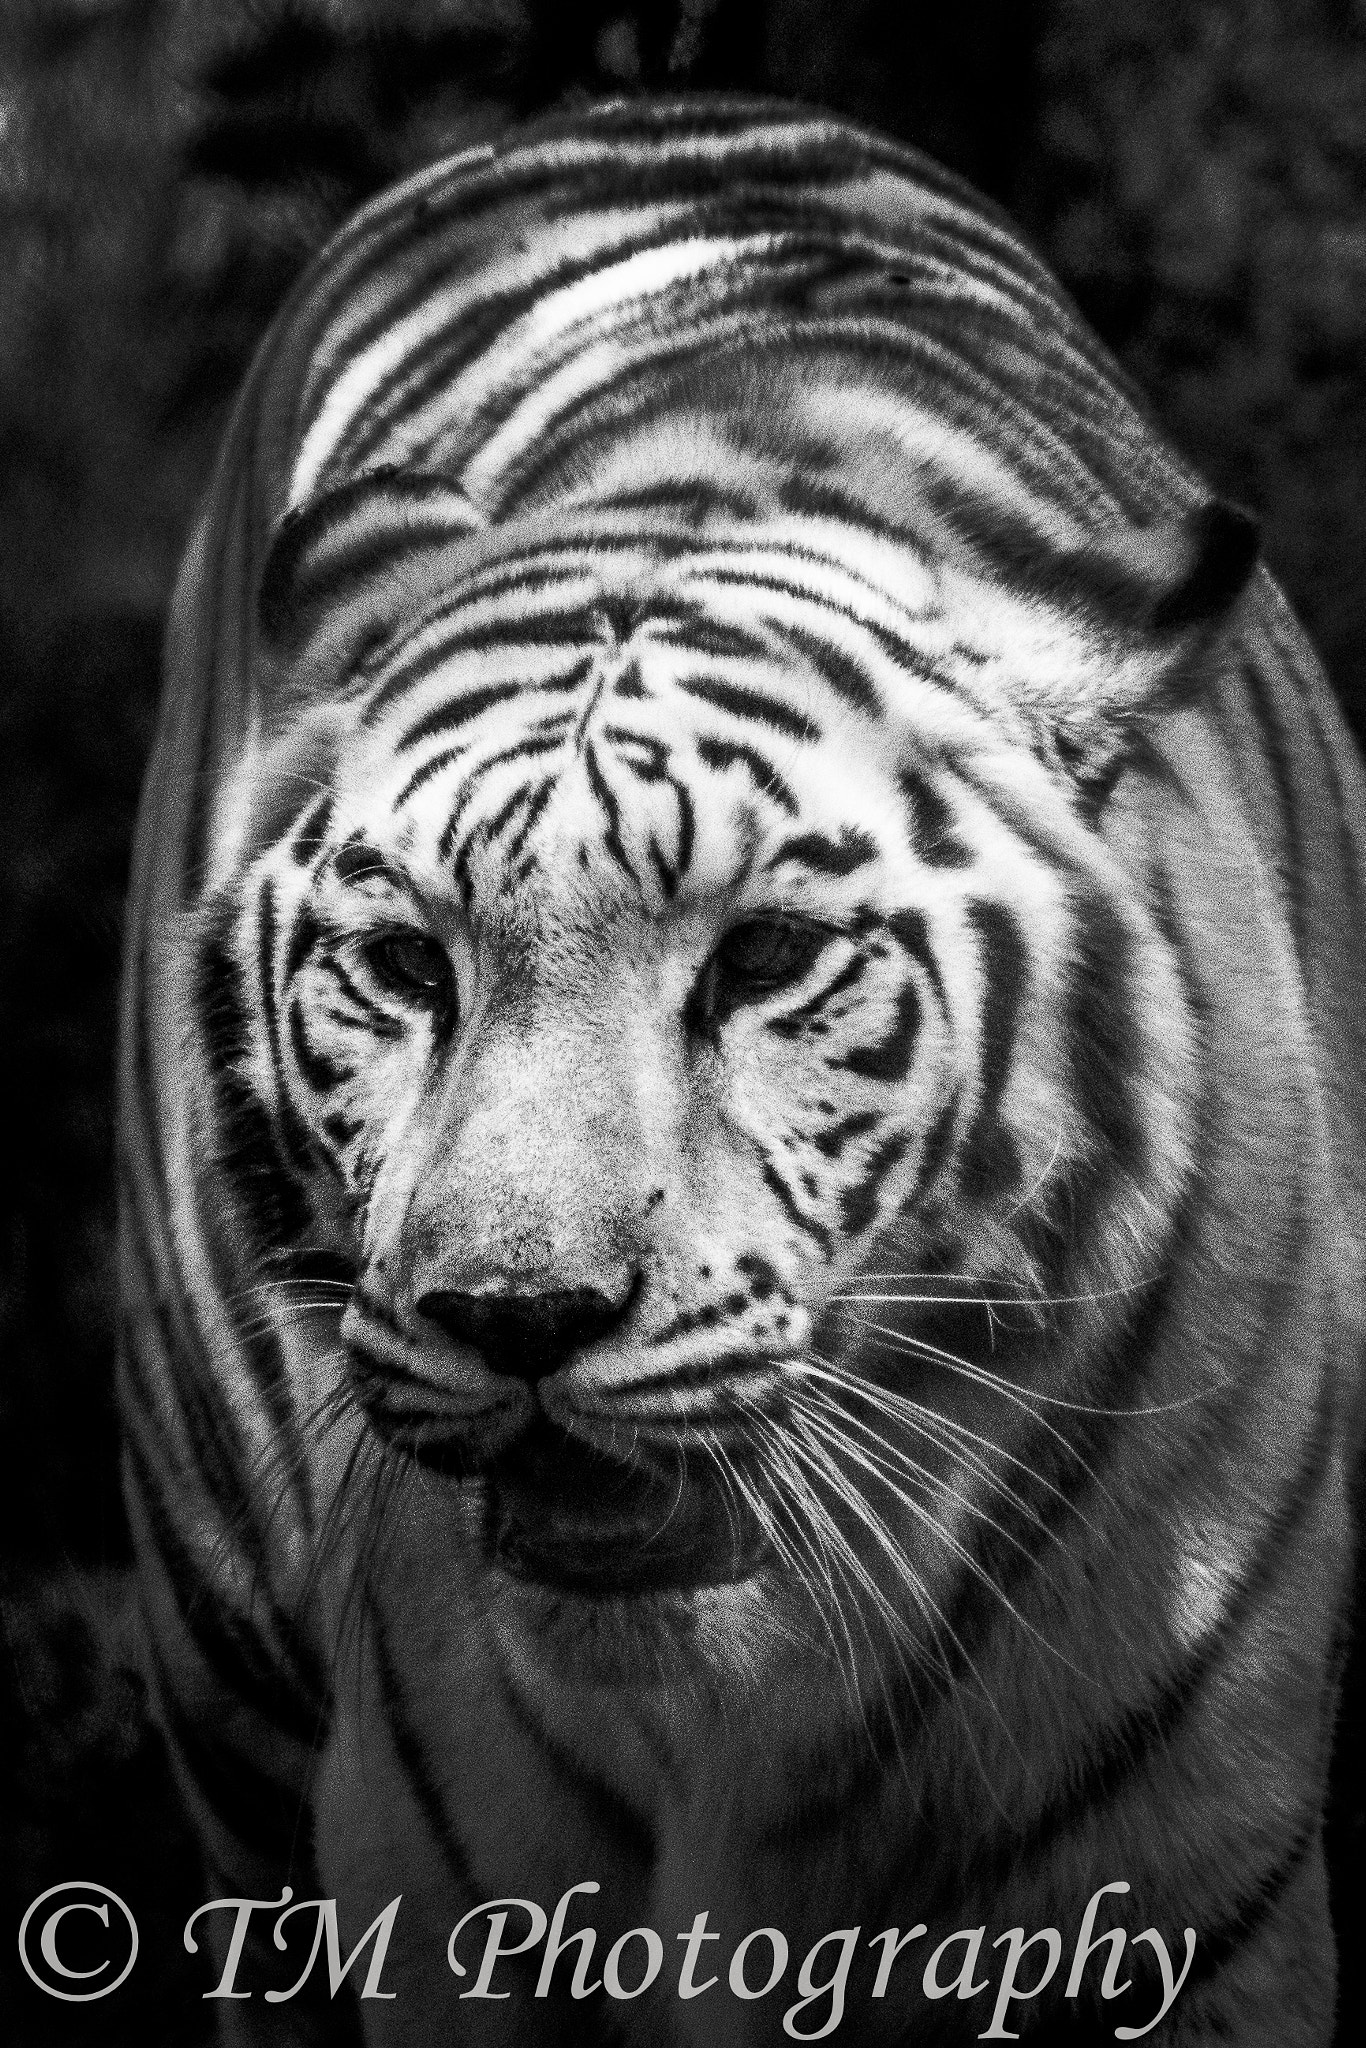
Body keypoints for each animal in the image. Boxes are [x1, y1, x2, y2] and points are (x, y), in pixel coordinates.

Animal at [117, 94, 1366, 2045]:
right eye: (406, 968)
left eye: (765, 958)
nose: (518, 1314)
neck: (737, 1704)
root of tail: (623, 111)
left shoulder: (1187, 1914)